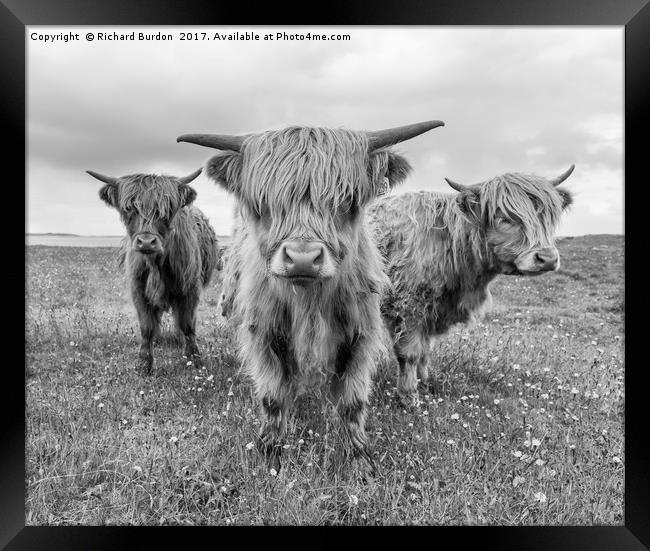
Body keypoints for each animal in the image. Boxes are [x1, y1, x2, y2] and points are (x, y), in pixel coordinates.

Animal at [86, 168, 219, 376]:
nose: (147, 242)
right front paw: (144, 364)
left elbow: (188, 324)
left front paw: (195, 361)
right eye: (129, 208)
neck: (156, 264)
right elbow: (147, 327)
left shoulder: (190, 289)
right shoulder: (138, 290)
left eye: (167, 209)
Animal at [177, 122, 440, 470]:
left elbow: (353, 401)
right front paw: (270, 450)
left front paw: (359, 456)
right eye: (262, 203)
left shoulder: (359, 334)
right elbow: (273, 396)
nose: (302, 259)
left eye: (348, 200)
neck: (308, 302)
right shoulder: (265, 332)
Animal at [368, 165, 576, 406]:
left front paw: (426, 384)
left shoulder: (432, 310)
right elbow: (409, 353)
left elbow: (425, 351)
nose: (548, 258)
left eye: (547, 215)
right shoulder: (408, 305)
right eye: (504, 218)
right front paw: (409, 396)